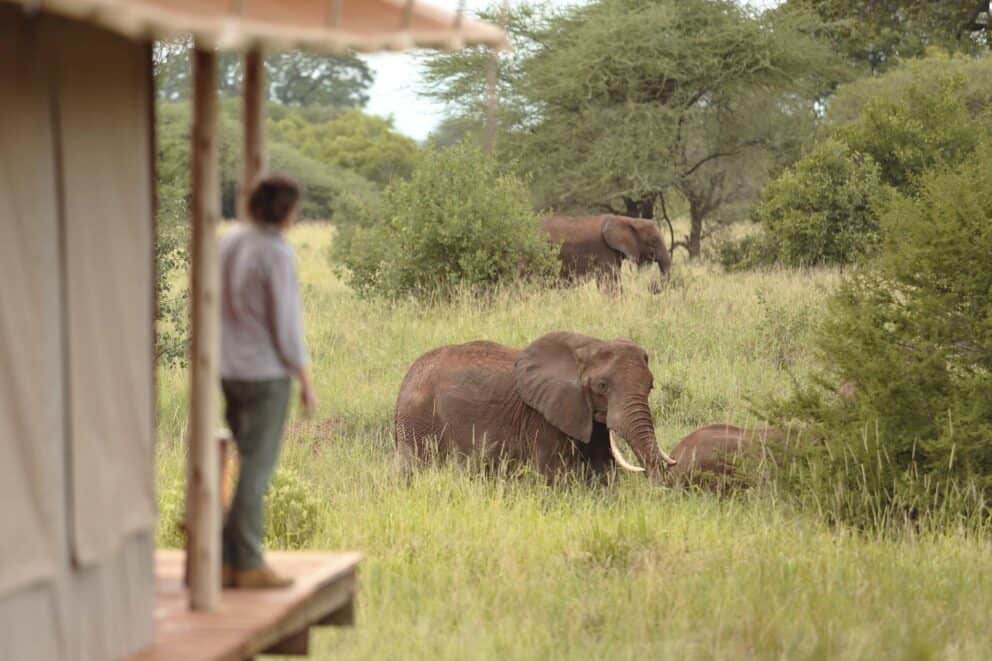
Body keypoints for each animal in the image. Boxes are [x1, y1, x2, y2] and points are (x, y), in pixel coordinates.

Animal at [393, 331, 678, 484]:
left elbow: (602, 471)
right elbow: (552, 474)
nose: (659, 484)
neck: (589, 346)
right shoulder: (541, 417)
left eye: (650, 386)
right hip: (418, 421)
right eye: (602, 386)